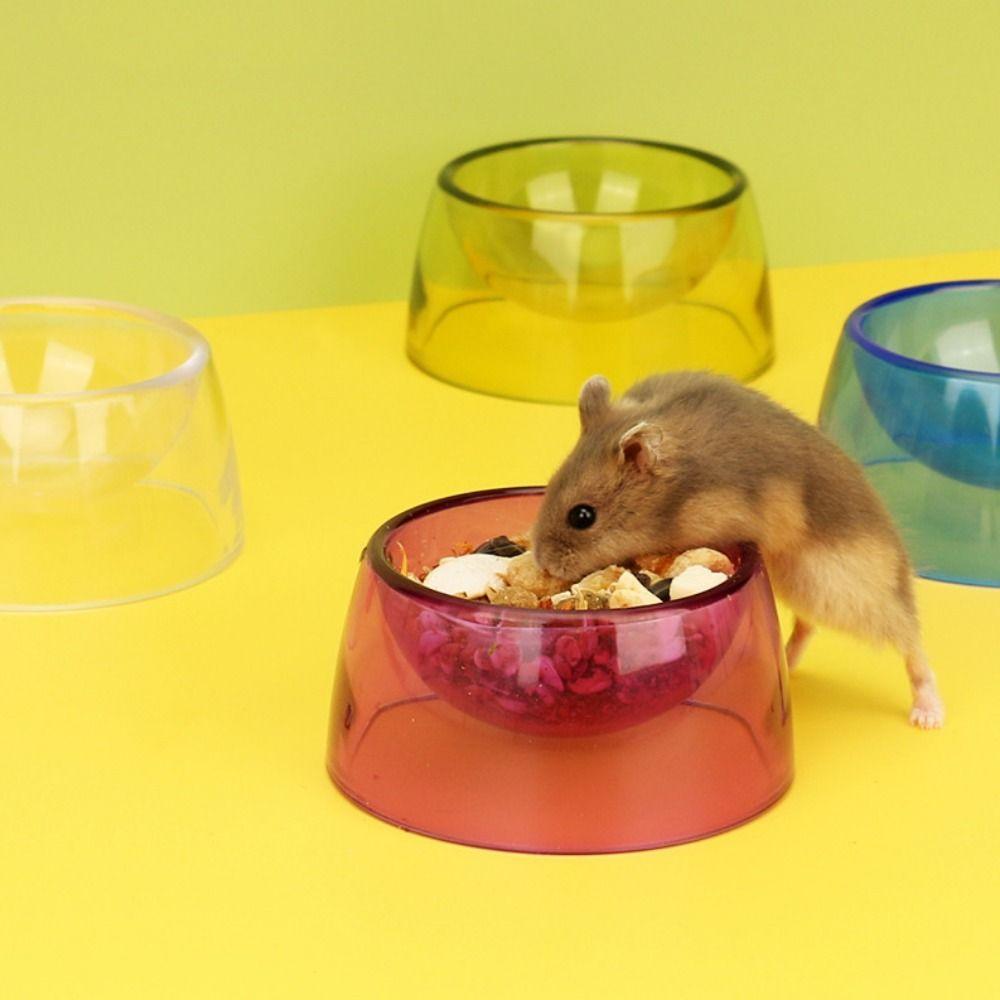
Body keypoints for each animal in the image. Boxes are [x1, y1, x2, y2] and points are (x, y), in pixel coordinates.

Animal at [531, 372, 945, 729]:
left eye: (582, 516)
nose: (543, 564)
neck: (673, 495)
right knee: (807, 627)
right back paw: (784, 664)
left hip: (848, 591)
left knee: (910, 641)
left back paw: (928, 715)